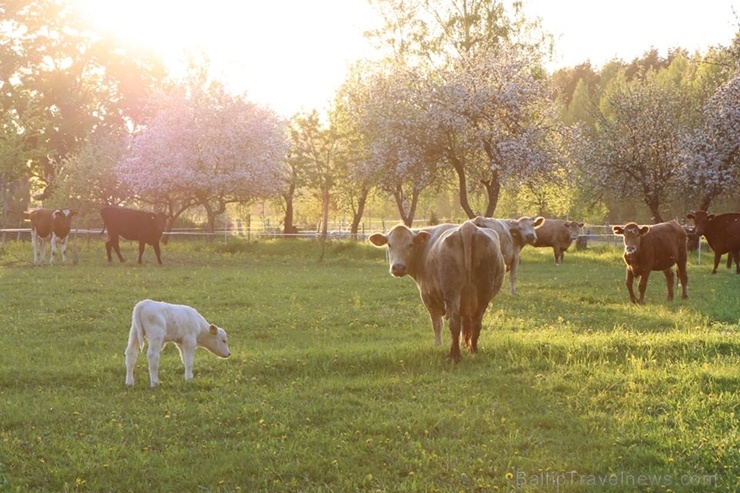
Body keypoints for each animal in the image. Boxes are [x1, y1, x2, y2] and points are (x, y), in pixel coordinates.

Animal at [368, 219, 506, 362]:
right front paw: (464, 344)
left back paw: (453, 355)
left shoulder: (427, 296)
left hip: (452, 293)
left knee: (454, 322)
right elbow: (464, 326)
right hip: (483, 294)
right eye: (389, 244)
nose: (398, 267)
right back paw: (473, 350)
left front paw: (438, 345)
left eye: (410, 244)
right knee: (476, 321)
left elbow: (437, 323)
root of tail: (468, 227)